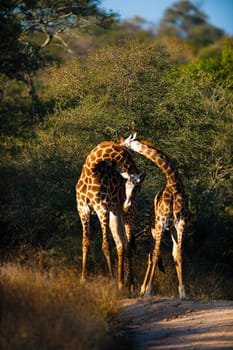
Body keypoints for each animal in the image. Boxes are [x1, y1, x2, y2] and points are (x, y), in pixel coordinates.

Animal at [120, 133, 187, 300]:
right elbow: (156, 255)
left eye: (126, 142)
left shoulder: (180, 224)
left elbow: (178, 254)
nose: (119, 146)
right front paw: (148, 290)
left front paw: (183, 293)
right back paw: (142, 289)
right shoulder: (161, 224)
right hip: (153, 230)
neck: (174, 186)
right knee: (151, 255)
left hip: (168, 229)